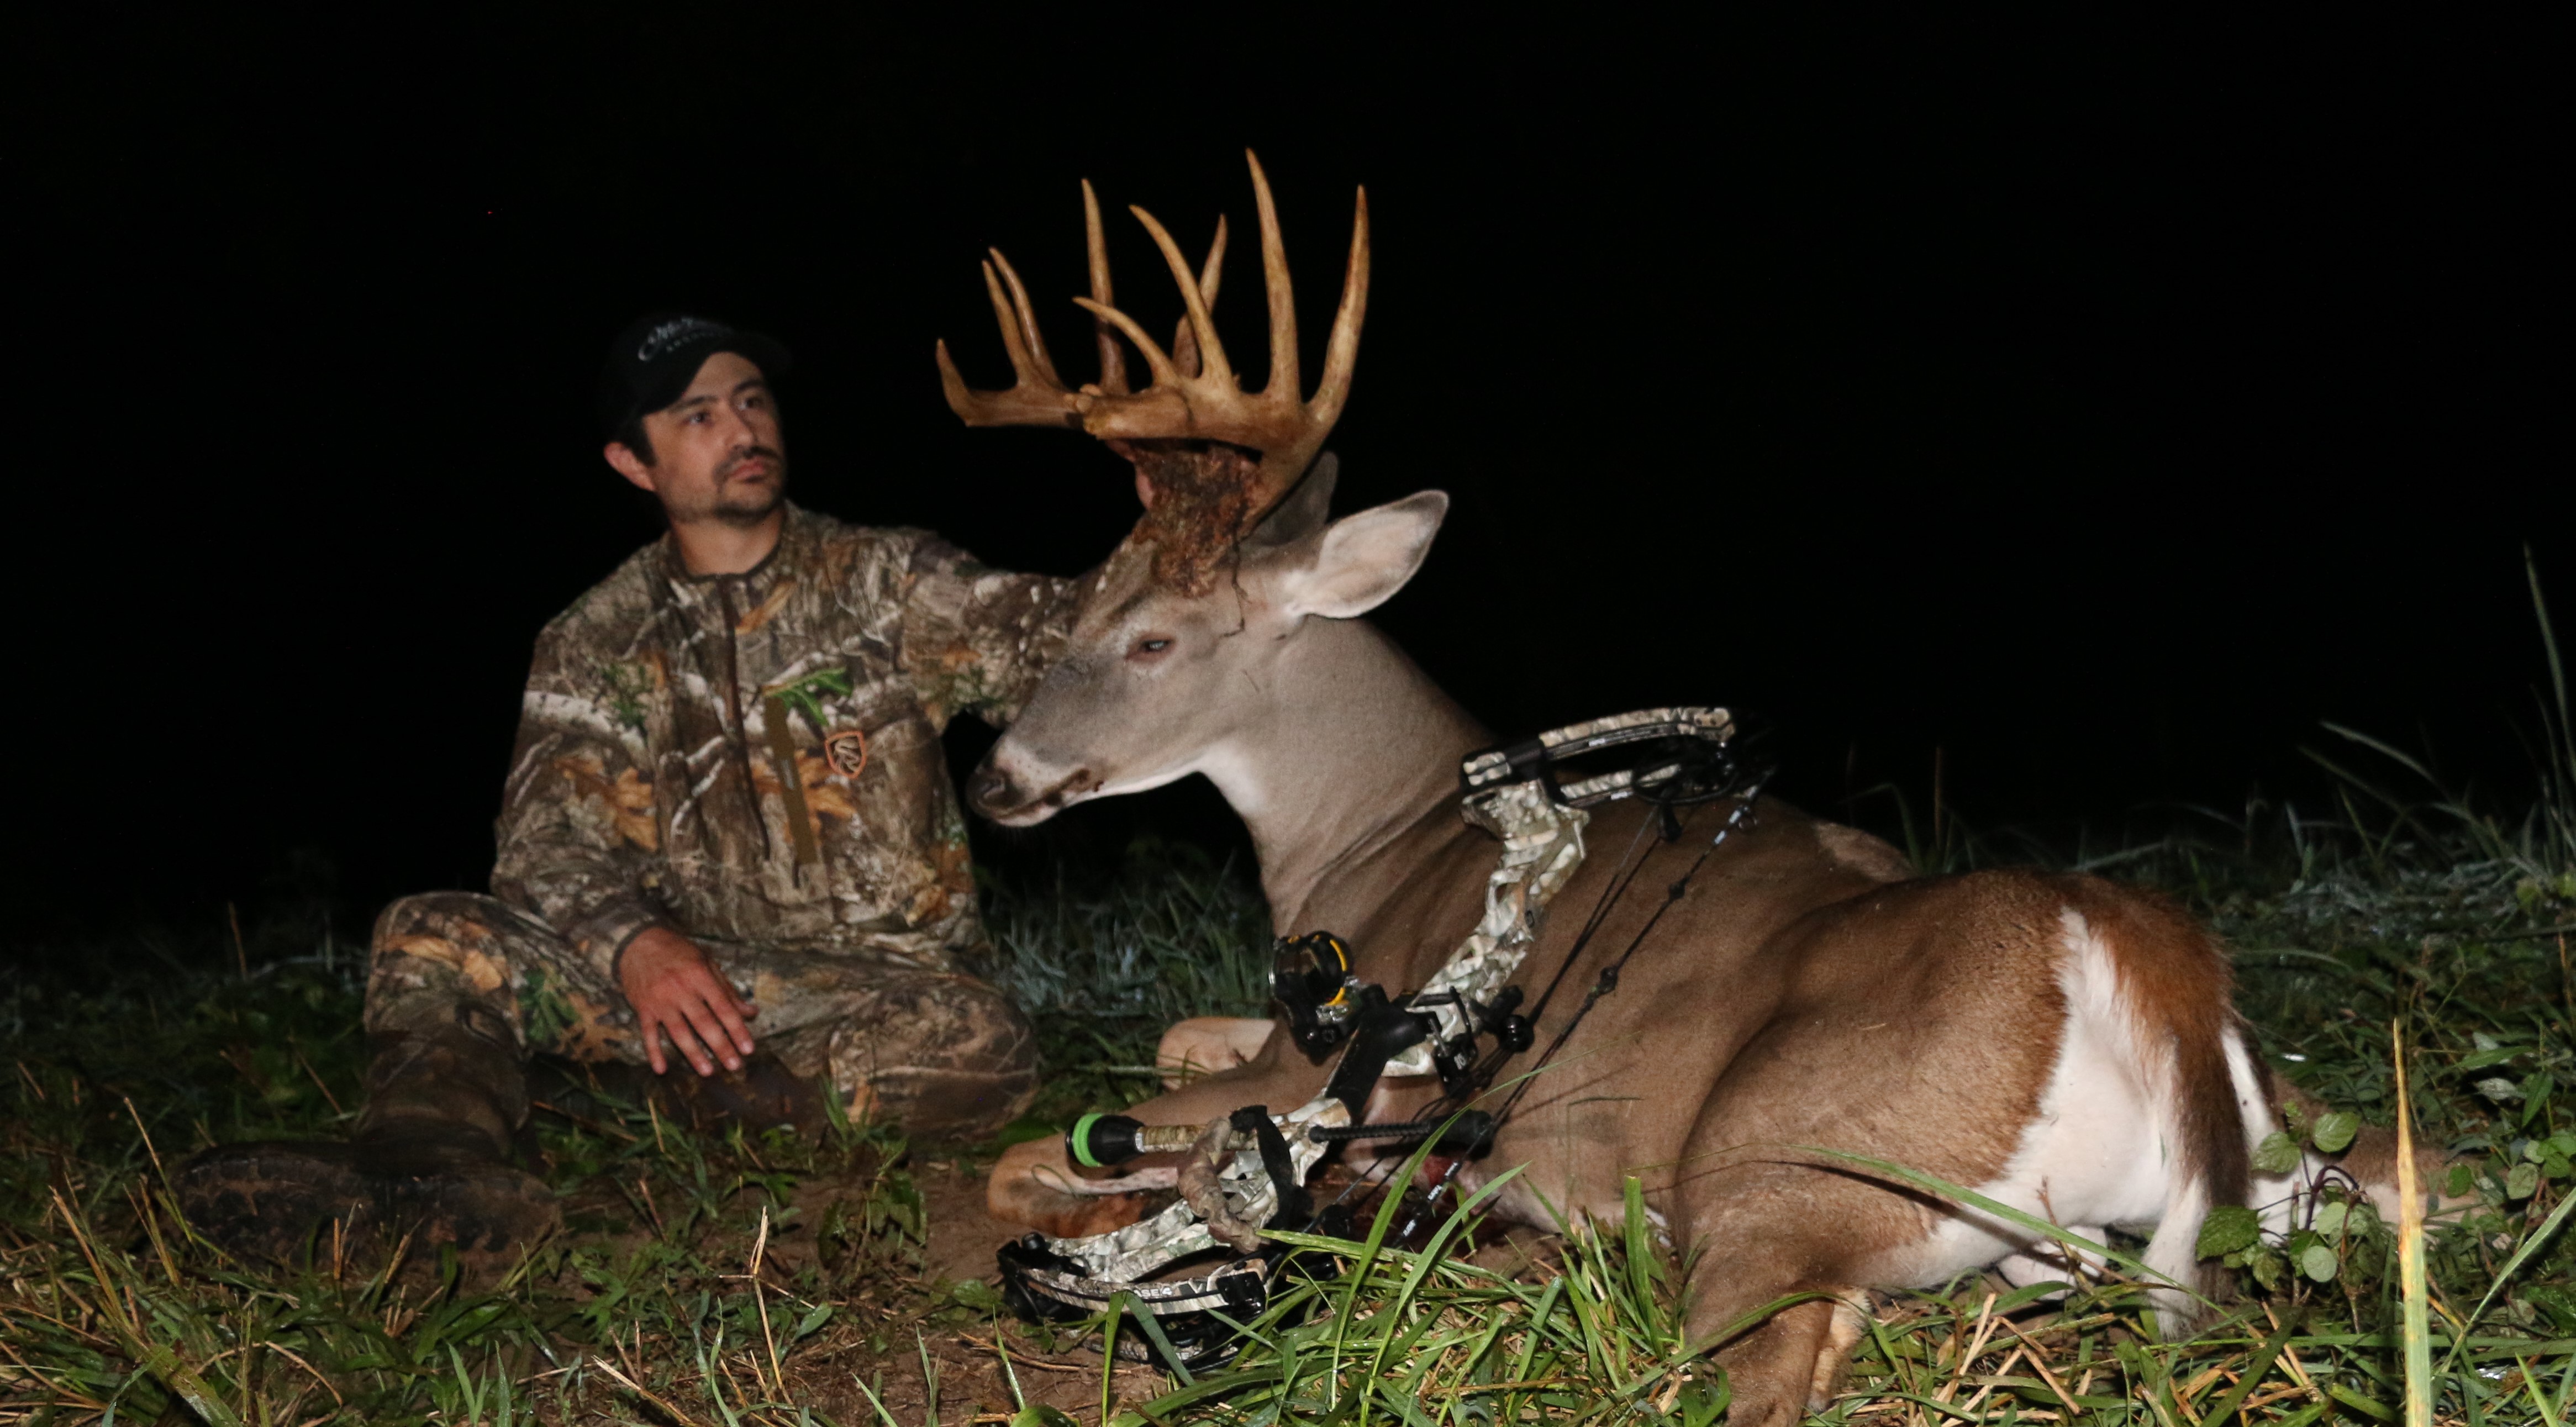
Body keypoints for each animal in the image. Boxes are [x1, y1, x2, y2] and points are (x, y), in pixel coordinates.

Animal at [938, 152, 2424, 1424]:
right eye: (1070, 602)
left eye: (1146, 638)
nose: (994, 780)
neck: (1377, 831)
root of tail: (2135, 946)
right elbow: (1169, 1044)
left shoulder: (1330, 1059)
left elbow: (1039, 1147)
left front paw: (1097, 1216)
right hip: (2276, 1156)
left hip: (1769, 1166)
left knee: (1767, 1358)